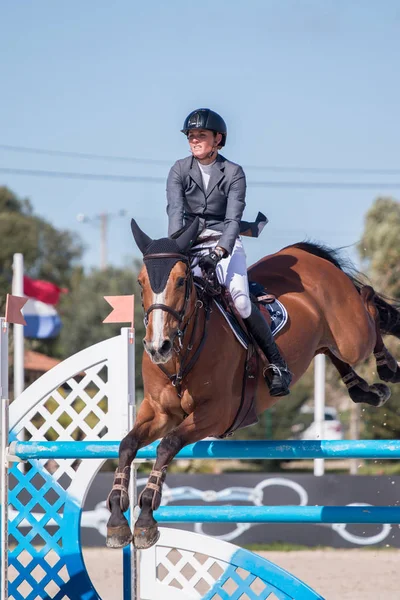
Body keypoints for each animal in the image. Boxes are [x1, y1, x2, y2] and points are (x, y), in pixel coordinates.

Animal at [105, 219, 400, 548]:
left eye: (181, 281)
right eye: (141, 282)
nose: (158, 347)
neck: (182, 353)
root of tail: (305, 255)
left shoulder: (215, 414)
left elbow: (167, 445)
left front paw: (145, 518)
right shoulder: (160, 413)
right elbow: (127, 444)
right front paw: (117, 518)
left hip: (352, 336)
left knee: (370, 305)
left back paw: (387, 366)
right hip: (325, 340)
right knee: (332, 349)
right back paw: (365, 390)